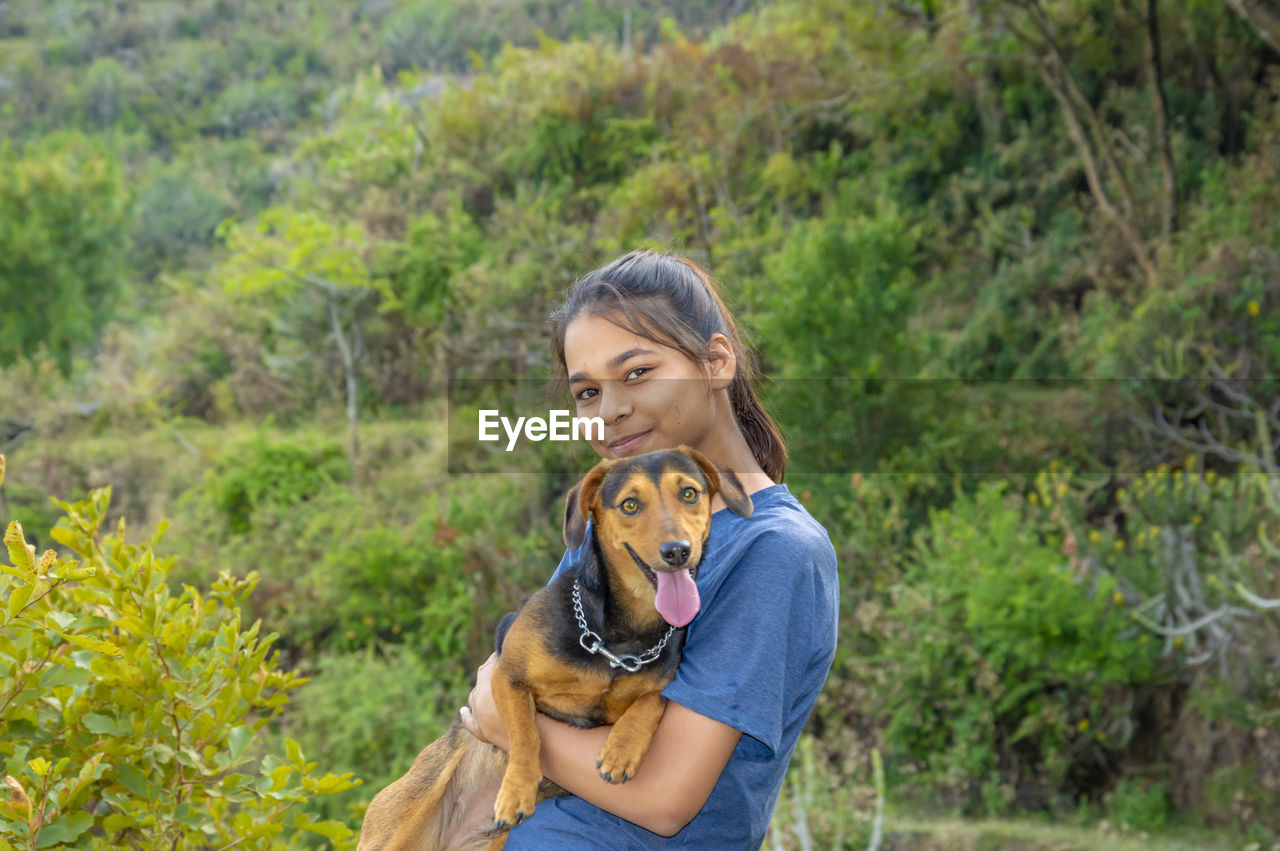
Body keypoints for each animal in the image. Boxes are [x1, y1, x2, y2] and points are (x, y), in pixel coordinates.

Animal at [355, 447, 752, 844]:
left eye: (689, 493)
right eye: (630, 505)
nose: (677, 551)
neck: (617, 638)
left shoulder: (659, 683)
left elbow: (653, 701)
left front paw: (622, 749)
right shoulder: (506, 676)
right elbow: (527, 732)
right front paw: (517, 789)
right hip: (395, 828)